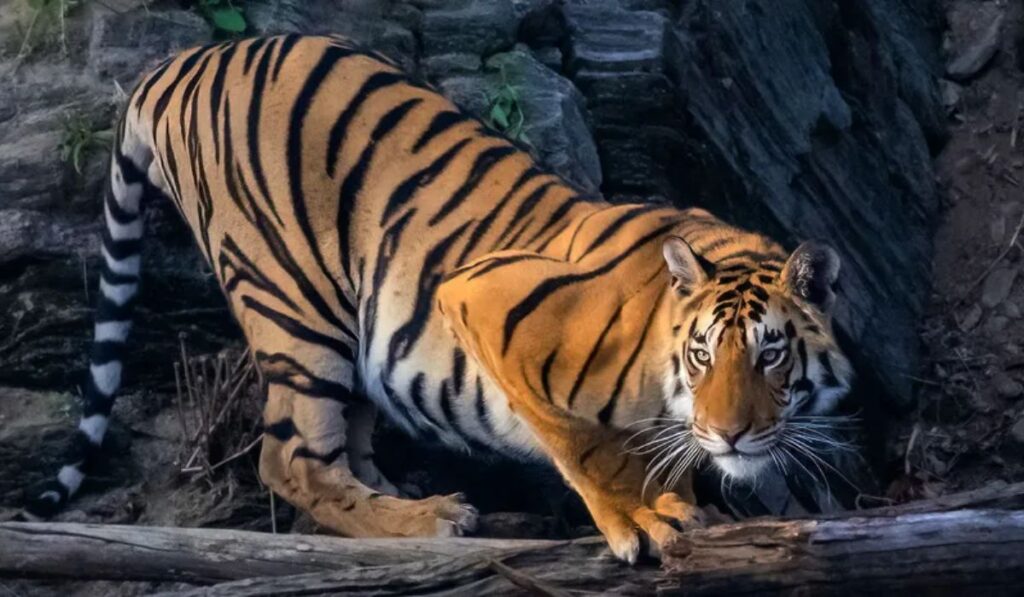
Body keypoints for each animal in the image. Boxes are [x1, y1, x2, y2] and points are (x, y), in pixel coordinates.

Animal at [25, 35, 853, 562]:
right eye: (703, 353)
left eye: (771, 354)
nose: (731, 435)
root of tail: (181, 62)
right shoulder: (487, 302)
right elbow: (583, 442)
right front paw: (639, 519)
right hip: (295, 303)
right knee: (291, 458)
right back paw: (434, 518)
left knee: (342, 448)